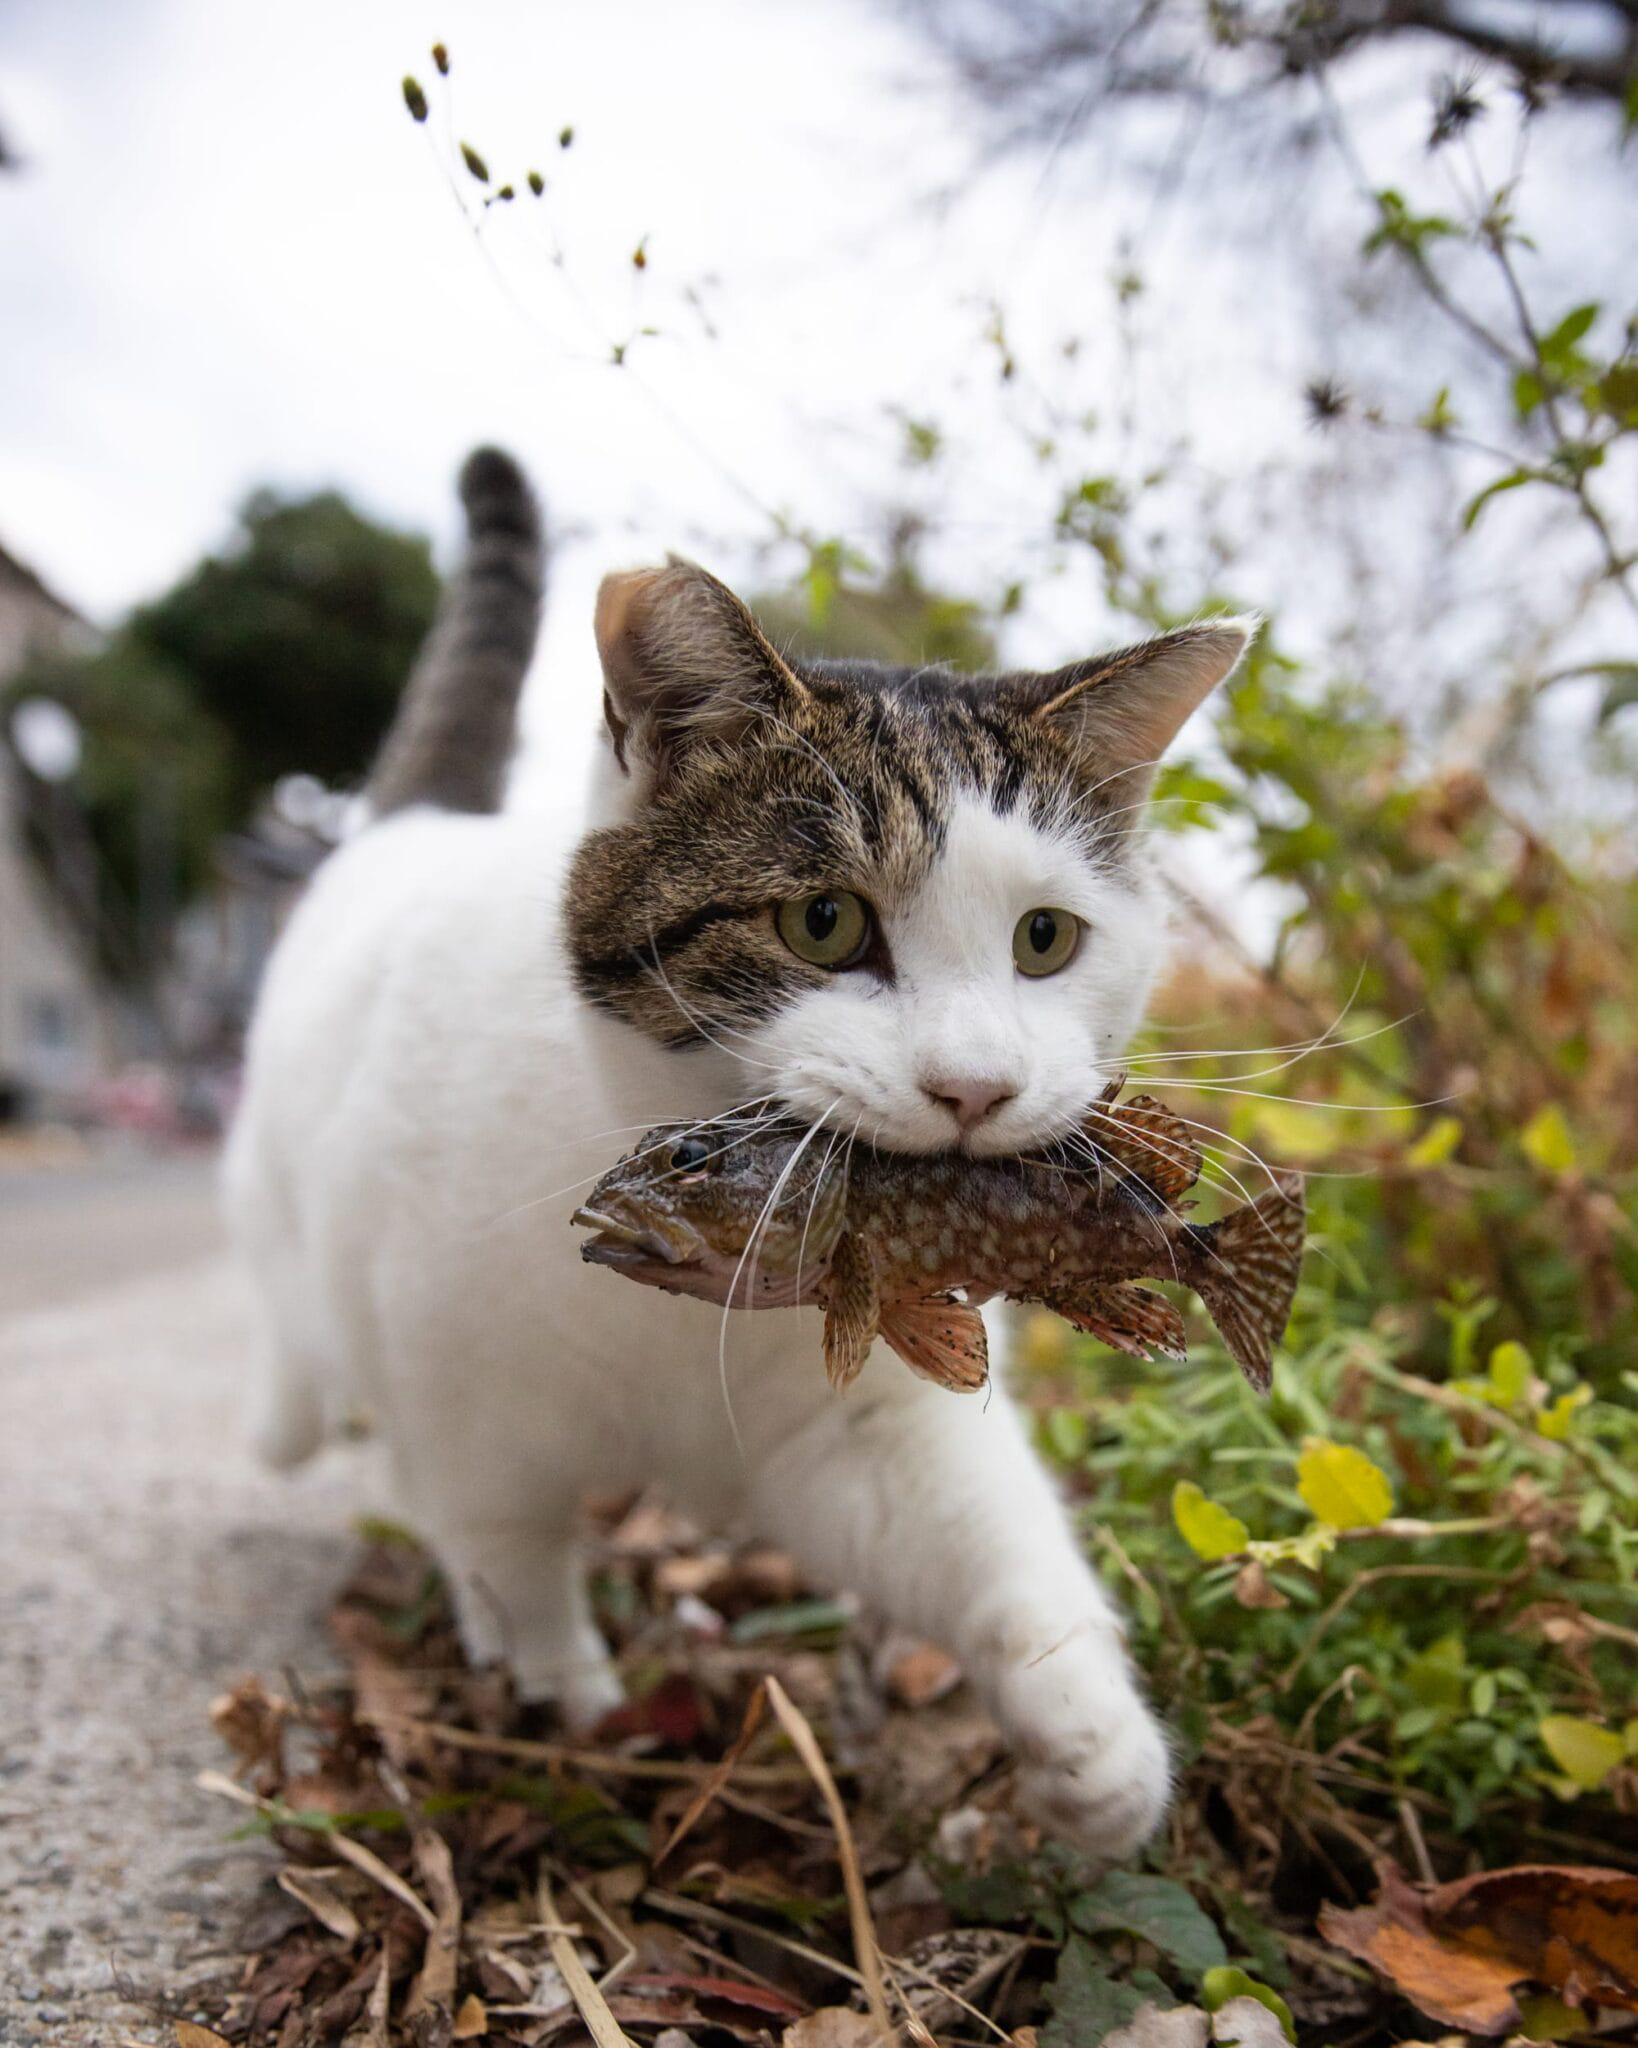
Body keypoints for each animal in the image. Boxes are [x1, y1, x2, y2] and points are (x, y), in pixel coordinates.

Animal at [224, 448, 1253, 1859]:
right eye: (823, 922)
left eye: (1046, 939)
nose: (976, 1086)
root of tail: (412, 826)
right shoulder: (471, 1409)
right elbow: (510, 1552)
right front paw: (568, 1696)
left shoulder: (866, 1421)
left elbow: (989, 1536)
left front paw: (1096, 1746)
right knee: (305, 1345)